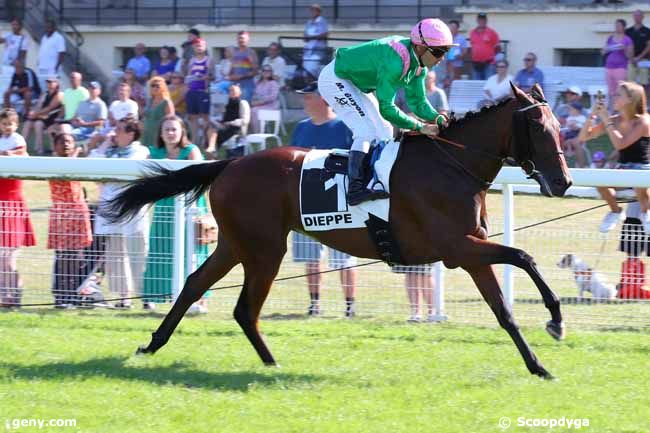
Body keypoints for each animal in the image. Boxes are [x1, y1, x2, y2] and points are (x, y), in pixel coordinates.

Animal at [106, 83, 572, 378]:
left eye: (559, 127)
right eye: (538, 128)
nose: (563, 182)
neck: (451, 164)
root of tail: (230, 162)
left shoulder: (470, 251)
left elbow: (504, 310)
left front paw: (538, 365)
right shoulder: (459, 248)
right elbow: (524, 256)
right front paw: (555, 320)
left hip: (235, 245)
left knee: (195, 284)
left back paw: (153, 345)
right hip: (264, 248)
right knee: (243, 308)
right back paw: (268, 362)